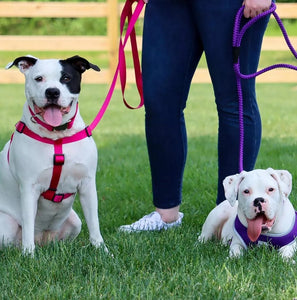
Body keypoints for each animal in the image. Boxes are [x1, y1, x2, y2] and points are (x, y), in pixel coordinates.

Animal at [0, 54, 106, 255]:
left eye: (66, 78)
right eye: (38, 78)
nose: (52, 92)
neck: (57, 137)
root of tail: (42, 239)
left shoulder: (87, 185)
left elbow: (95, 224)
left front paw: (102, 251)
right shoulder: (29, 188)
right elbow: (27, 226)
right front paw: (28, 255)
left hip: (75, 222)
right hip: (6, 226)